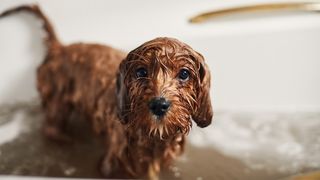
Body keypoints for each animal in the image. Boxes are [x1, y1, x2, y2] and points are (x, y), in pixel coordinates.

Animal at [1, 4, 214, 180]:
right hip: (57, 102)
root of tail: (59, 48)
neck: (150, 139)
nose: (159, 105)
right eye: (141, 72)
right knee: (51, 127)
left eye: (184, 74)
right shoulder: (110, 165)